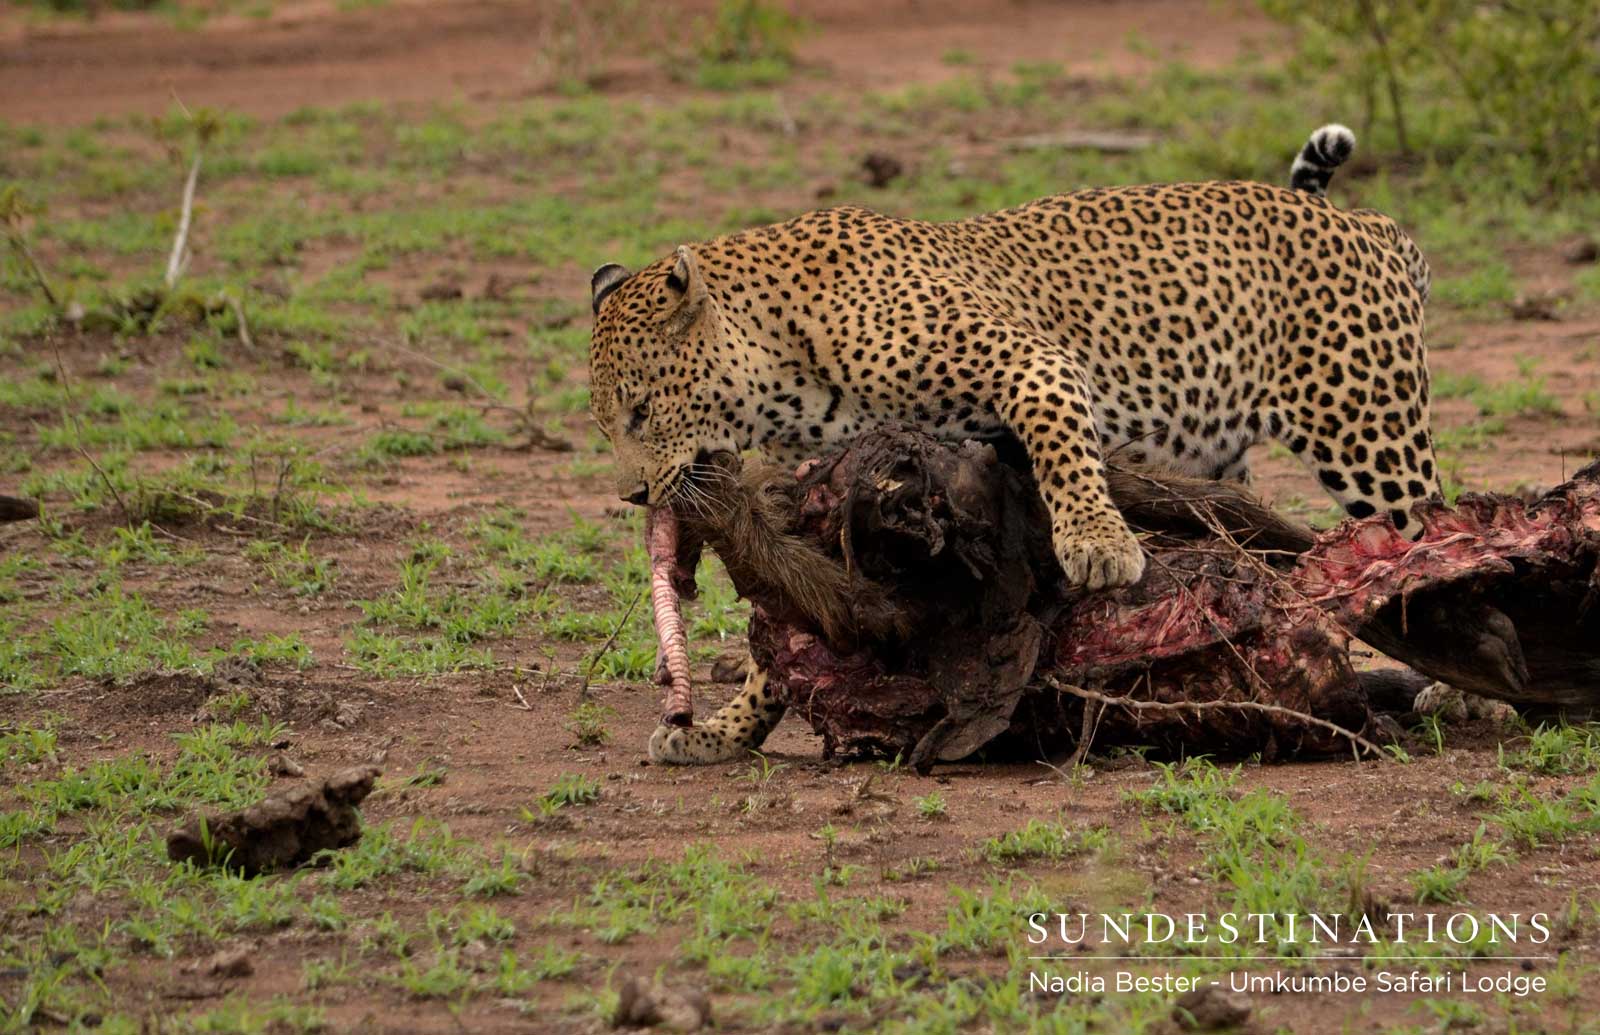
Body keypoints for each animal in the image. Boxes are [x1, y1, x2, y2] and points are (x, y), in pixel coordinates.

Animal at [586, 124, 1439, 765]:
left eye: (640, 411)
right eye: (603, 423)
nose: (635, 493)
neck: (781, 366)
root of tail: (1370, 223)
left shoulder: (1033, 362)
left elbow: (1065, 455)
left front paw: (1099, 545)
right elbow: (799, 624)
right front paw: (726, 729)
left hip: (1369, 430)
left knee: (1423, 529)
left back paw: (1444, 677)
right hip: (1221, 453)